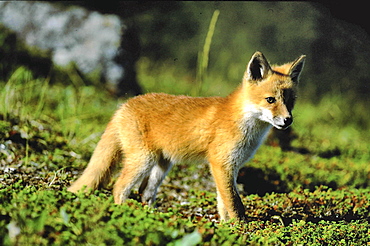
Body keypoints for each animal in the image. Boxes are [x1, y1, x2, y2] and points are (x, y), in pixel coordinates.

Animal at [68, 52, 304, 221]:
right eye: (271, 100)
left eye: (290, 101)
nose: (288, 120)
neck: (245, 126)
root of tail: (124, 105)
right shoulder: (220, 164)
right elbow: (234, 203)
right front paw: (241, 229)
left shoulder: (230, 167)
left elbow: (223, 203)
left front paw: (226, 228)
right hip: (143, 160)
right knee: (119, 187)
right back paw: (126, 214)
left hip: (162, 165)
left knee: (144, 192)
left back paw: (152, 217)